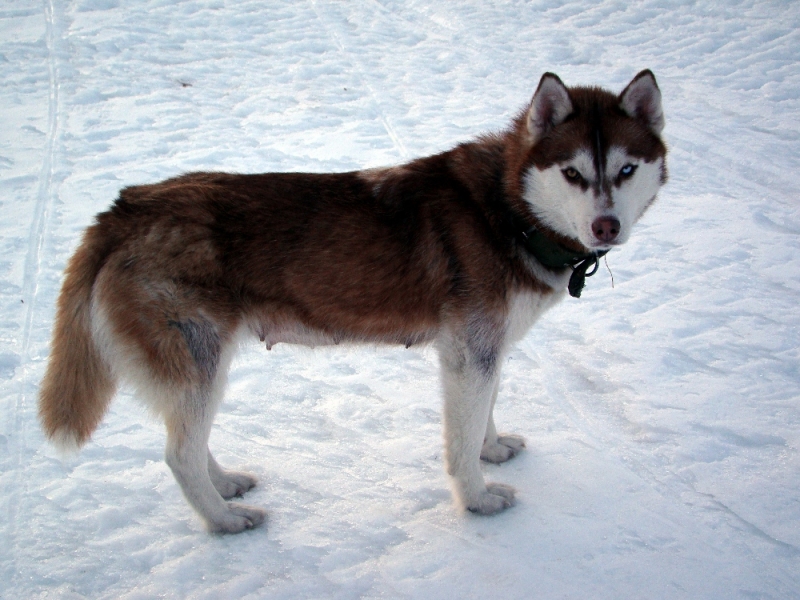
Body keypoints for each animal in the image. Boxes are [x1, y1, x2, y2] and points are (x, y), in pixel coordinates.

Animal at [42, 70, 668, 536]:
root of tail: (124, 209)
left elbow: (482, 417)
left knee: (188, 445)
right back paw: (223, 520)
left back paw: (225, 487)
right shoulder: (471, 353)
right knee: (179, 456)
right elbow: (459, 444)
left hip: (198, 369)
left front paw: (491, 450)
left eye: (626, 169)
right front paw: (477, 500)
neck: (508, 211)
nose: (607, 226)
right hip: (198, 361)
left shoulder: (479, 352)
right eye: (573, 173)